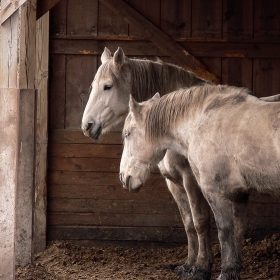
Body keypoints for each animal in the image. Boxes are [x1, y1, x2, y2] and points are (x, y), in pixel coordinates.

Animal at [119, 85, 280, 280]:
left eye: (127, 134)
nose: (123, 177)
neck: (202, 122)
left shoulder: (213, 191)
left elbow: (223, 230)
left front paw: (215, 271)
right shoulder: (239, 194)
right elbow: (238, 230)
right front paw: (232, 269)